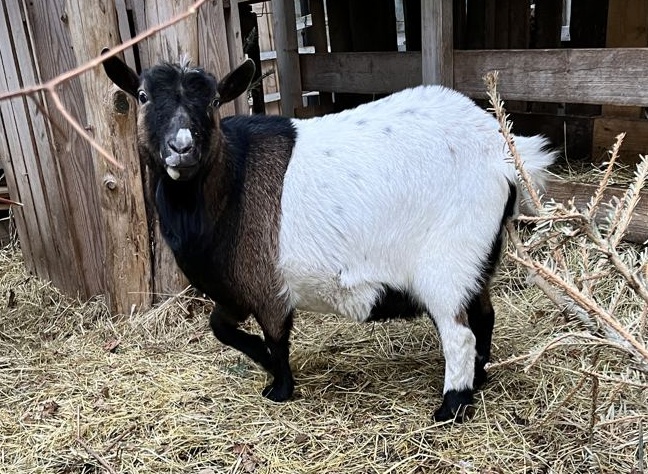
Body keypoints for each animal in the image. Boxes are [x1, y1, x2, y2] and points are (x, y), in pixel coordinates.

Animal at [102, 54, 555, 422]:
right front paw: (263, 364)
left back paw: (452, 407)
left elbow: (278, 340)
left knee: (459, 334)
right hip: (477, 262)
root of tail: (501, 154)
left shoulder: (266, 288)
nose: (182, 147)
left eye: (214, 101)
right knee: (484, 316)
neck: (231, 184)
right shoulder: (235, 290)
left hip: (447, 264)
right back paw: (479, 378)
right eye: (142, 95)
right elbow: (220, 328)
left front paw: (279, 388)